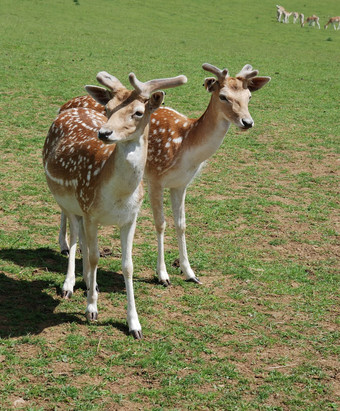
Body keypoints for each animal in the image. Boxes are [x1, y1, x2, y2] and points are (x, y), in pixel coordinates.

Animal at [42, 71, 187, 342]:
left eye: (139, 112)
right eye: (108, 108)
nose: (104, 133)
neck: (118, 194)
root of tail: (67, 110)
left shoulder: (130, 218)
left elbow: (127, 266)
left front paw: (134, 324)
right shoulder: (90, 211)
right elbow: (94, 257)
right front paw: (91, 309)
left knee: (83, 241)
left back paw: (90, 282)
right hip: (68, 201)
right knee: (75, 238)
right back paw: (69, 285)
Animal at [56, 65, 270, 290]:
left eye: (249, 96)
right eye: (223, 96)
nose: (247, 122)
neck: (186, 147)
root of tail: (64, 105)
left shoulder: (181, 184)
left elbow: (181, 224)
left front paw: (190, 273)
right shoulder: (156, 179)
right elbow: (161, 224)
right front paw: (163, 275)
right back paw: (65, 246)